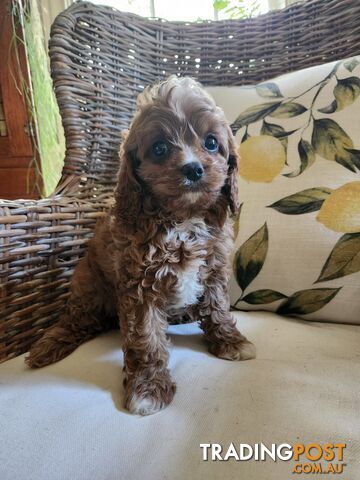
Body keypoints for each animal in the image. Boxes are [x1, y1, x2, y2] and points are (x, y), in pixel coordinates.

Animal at [26, 77, 256, 414]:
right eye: (159, 148)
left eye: (212, 143)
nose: (193, 169)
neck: (183, 220)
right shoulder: (140, 286)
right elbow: (146, 338)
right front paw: (148, 388)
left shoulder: (213, 269)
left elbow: (217, 309)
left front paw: (231, 341)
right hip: (88, 286)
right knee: (77, 319)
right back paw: (47, 345)